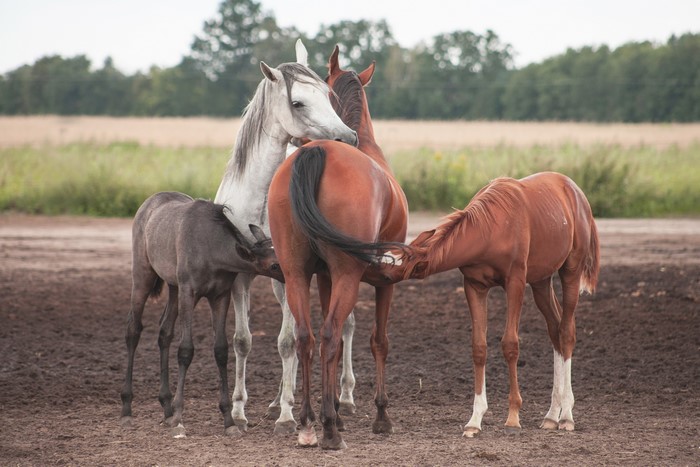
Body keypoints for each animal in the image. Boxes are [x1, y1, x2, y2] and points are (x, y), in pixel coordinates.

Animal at [120, 192, 284, 438]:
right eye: (274, 265)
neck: (212, 249)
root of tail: (148, 203)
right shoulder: (189, 292)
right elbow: (186, 350)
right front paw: (179, 417)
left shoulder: (220, 296)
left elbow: (221, 350)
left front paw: (229, 420)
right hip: (143, 275)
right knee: (133, 329)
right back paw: (128, 407)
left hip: (173, 286)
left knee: (164, 331)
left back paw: (166, 407)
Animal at [213, 40, 357, 435]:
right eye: (298, 102)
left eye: (328, 94)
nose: (349, 138)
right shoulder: (241, 276)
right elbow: (243, 341)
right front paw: (239, 411)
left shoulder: (294, 272)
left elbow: (289, 341)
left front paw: (289, 415)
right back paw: (278, 399)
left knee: (343, 326)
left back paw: (342, 398)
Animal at [267, 50, 409, 450]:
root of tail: (316, 152)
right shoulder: (385, 283)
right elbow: (379, 342)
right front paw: (381, 416)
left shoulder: (324, 277)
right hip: (349, 275)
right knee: (329, 336)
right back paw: (329, 429)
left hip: (296, 273)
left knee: (306, 337)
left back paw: (307, 422)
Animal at [364, 171, 600, 437]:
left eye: (388, 271)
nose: (363, 268)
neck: (493, 227)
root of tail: (574, 191)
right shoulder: (474, 286)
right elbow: (479, 347)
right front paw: (475, 420)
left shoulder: (515, 283)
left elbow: (510, 344)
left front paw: (513, 415)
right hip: (541, 281)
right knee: (555, 330)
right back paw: (551, 415)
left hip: (570, 272)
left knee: (567, 332)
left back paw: (567, 415)